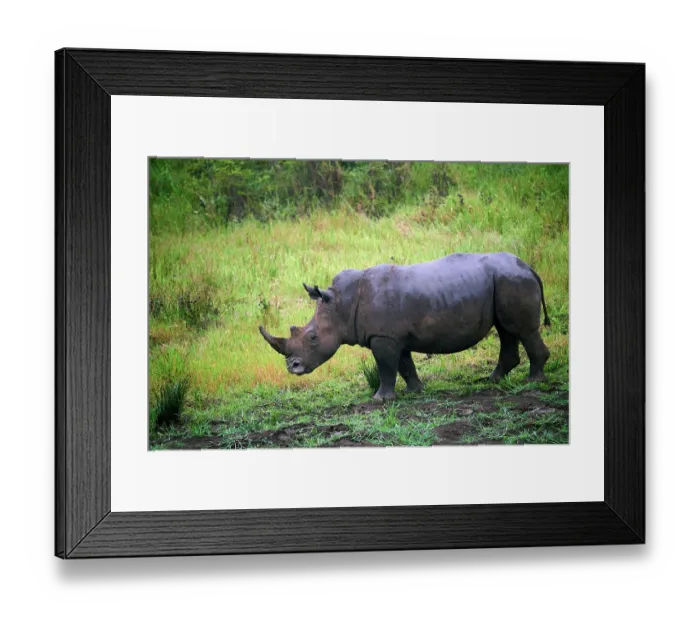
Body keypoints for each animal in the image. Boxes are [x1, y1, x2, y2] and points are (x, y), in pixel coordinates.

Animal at [259, 252, 551, 401]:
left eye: (312, 338)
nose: (292, 367)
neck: (341, 304)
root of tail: (528, 266)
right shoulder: (394, 335)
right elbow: (404, 364)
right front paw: (415, 391)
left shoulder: (383, 336)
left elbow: (386, 367)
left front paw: (380, 399)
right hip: (504, 281)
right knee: (506, 330)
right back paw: (492, 380)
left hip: (512, 280)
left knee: (522, 330)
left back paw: (533, 381)